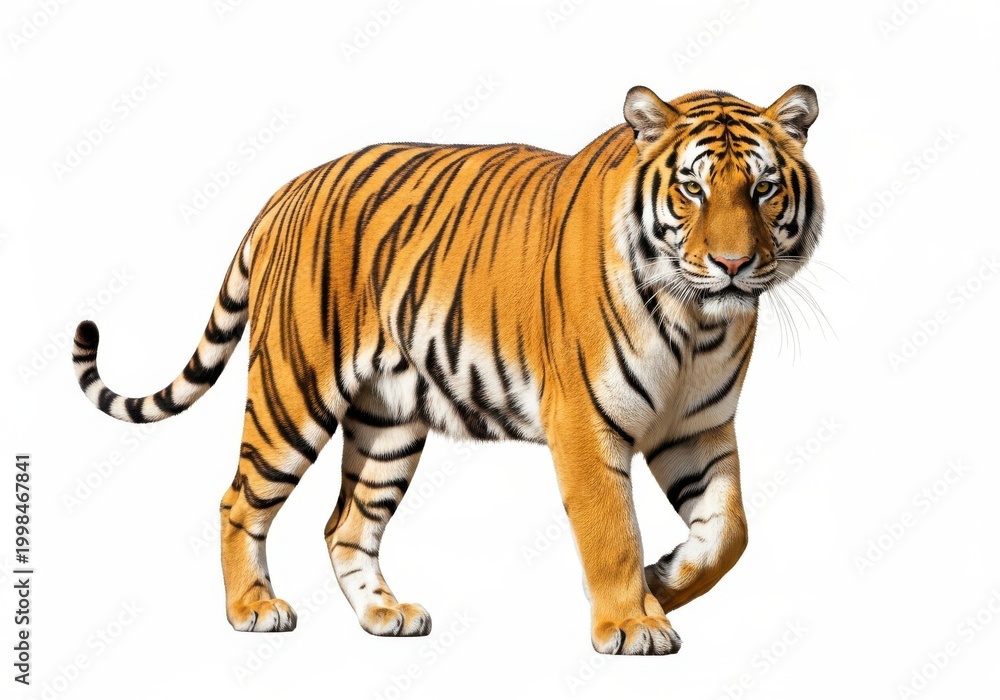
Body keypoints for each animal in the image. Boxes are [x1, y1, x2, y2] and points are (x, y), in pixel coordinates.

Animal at [72, 84, 822, 655]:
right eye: (692, 189)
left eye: (764, 189)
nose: (732, 264)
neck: (699, 323)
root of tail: (288, 189)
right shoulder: (585, 422)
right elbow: (612, 530)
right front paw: (632, 621)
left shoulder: (698, 428)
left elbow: (731, 531)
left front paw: (664, 579)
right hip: (292, 394)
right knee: (239, 501)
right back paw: (253, 609)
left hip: (388, 425)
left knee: (345, 525)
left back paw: (386, 615)